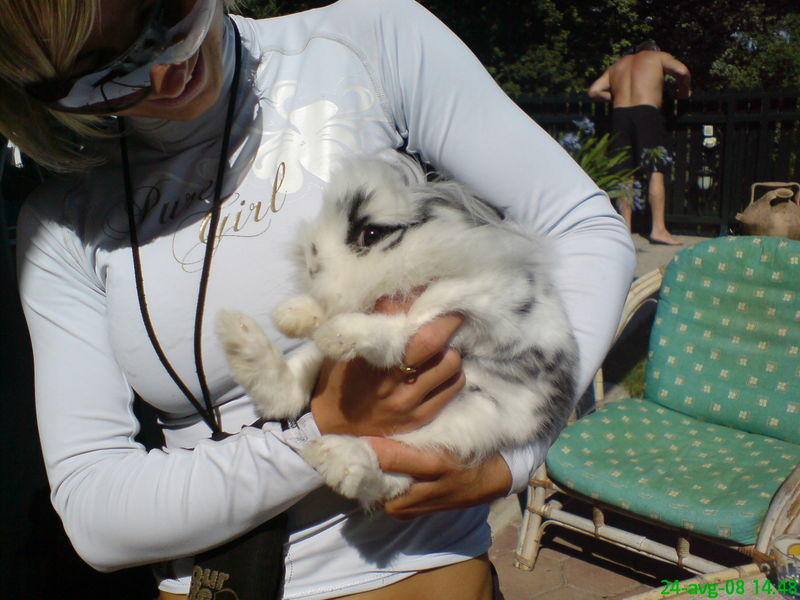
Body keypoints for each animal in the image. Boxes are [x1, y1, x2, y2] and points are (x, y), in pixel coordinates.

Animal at [216, 154, 578, 506]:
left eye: (371, 235)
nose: (311, 263)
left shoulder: (475, 304)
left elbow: (411, 322)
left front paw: (342, 333)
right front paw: (293, 315)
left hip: (474, 418)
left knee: (394, 472)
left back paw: (339, 460)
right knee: (288, 395)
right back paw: (240, 340)